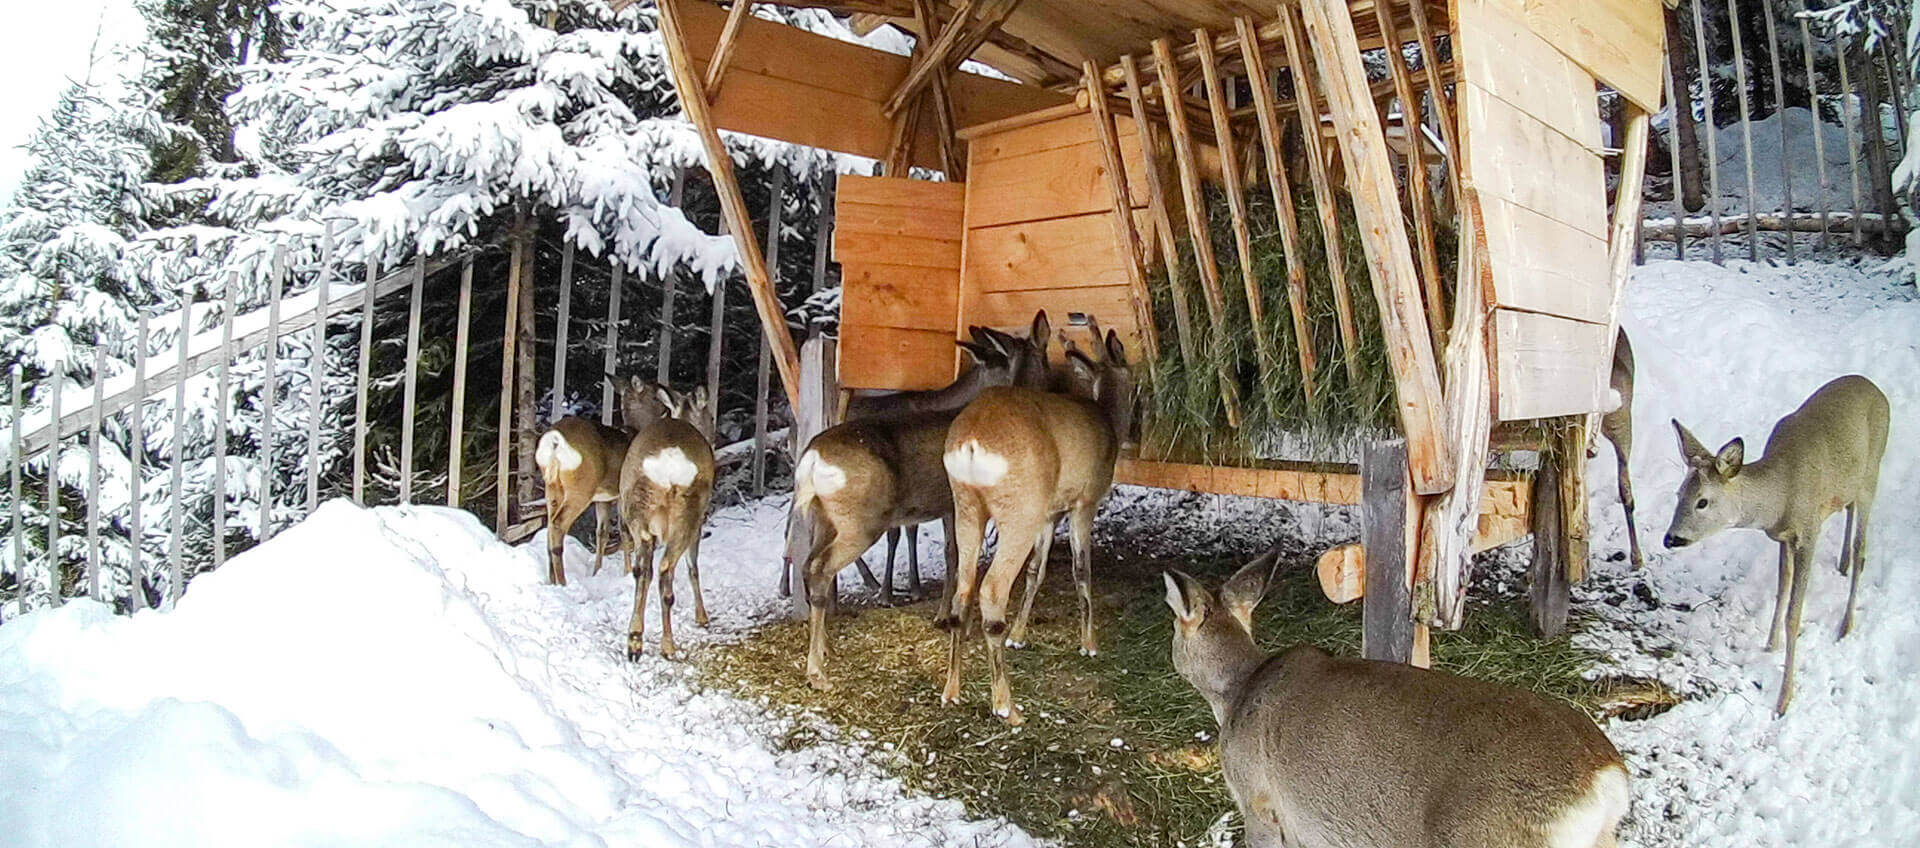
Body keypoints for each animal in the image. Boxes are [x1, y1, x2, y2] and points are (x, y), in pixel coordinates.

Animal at [533, 374, 668, 587]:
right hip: (581, 487)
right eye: (655, 396)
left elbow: (602, 531)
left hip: (552, 486)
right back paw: (563, 582)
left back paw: (552, 580)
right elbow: (623, 529)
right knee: (557, 525)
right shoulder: (622, 493)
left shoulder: (602, 498)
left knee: (550, 525)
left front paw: (596, 571)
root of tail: (554, 441)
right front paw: (627, 571)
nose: (666, 410)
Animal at [618, 383, 718, 663]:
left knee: (642, 570)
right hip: (688, 512)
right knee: (665, 569)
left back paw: (634, 641)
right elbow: (693, 567)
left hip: (635, 511)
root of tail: (666, 466)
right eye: (711, 416)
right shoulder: (700, 520)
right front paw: (702, 617)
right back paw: (668, 645)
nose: (714, 436)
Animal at [936, 314, 1128, 725]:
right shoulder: (1084, 501)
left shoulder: (1049, 512)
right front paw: (1089, 643)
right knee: (991, 590)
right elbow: (1081, 569)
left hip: (966, 504)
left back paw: (952, 690)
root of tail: (972, 442)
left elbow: (1036, 571)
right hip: (1018, 508)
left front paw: (1020, 634)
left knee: (964, 588)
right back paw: (1006, 705)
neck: (1107, 422)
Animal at [1666, 374, 1889, 713]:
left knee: (1862, 548)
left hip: (1871, 475)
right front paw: (1770, 646)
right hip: (1850, 481)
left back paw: (1845, 624)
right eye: (1679, 494)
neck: (1781, 495)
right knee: (1848, 510)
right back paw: (1841, 564)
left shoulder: (1809, 531)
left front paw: (1784, 700)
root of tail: (1877, 389)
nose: (1671, 538)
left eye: (1702, 501)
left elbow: (1794, 614)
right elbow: (1782, 585)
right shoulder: (1783, 537)